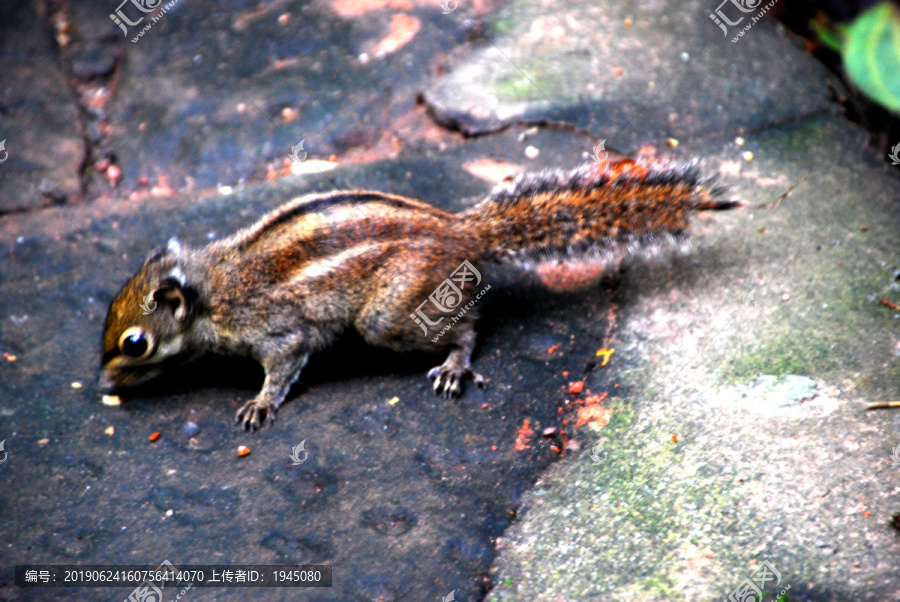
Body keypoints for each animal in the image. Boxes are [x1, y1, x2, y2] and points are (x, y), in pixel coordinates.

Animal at [102, 157, 740, 428]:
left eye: (134, 343)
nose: (104, 381)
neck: (212, 291)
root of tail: (461, 231)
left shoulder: (276, 330)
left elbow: (283, 365)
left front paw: (261, 403)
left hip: (391, 312)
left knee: (466, 326)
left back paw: (456, 363)